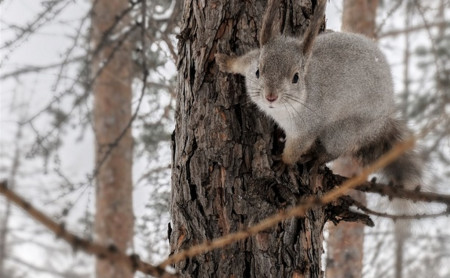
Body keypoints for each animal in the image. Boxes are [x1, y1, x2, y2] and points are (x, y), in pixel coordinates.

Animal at [214, 0, 422, 189]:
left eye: (296, 78)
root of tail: (383, 122)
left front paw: (285, 162)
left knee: (334, 150)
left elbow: (296, 148)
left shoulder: (306, 127)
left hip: (343, 131)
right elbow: (242, 62)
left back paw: (316, 157)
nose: (270, 96)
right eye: (258, 71)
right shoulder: (251, 61)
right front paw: (225, 61)